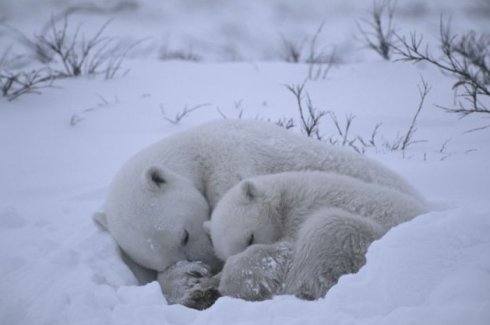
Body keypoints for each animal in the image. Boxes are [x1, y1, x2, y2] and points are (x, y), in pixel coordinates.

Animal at [205, 171, 426, 300]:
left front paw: (229, 280)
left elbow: (285, 253)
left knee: (325, 232)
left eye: (250, 238)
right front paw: (213, 277)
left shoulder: (301, 212)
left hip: (365, 240)